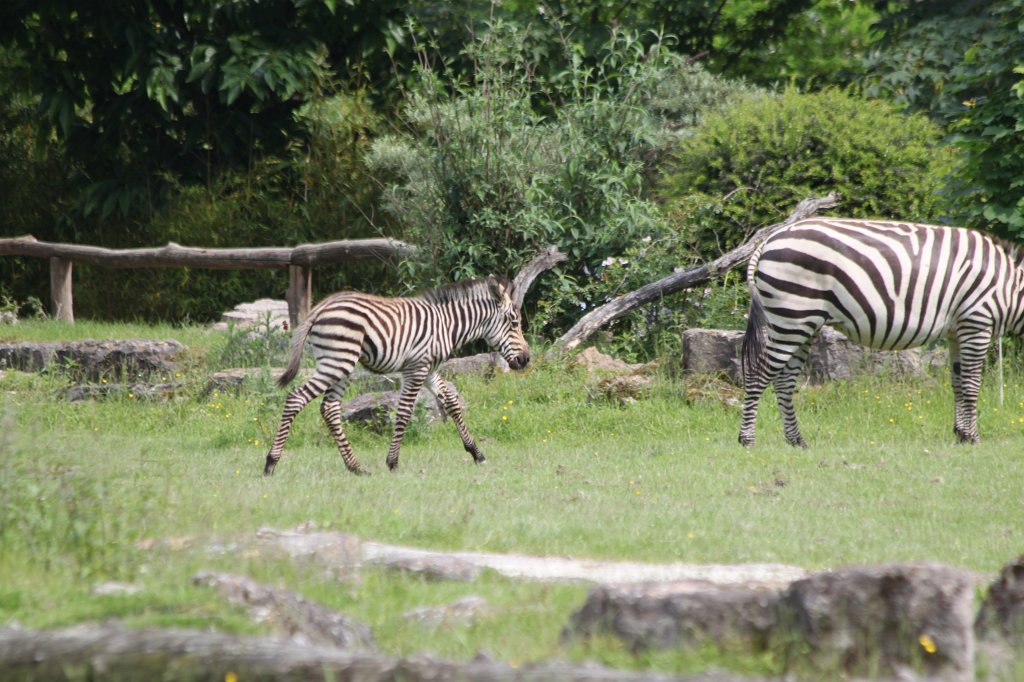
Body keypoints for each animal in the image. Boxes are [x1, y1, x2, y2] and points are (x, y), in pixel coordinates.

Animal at [263, 275, 530, 476]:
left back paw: (355, 467)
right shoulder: (416, 369)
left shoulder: (430, 370)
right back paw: (271, 463)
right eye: (514, 323)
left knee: (329, 408)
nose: (526, 359)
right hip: (338, 361)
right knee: (296, 398)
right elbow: (404, 413)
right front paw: (392, 463)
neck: (447, 324)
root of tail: (320, 307)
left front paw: (477, 453)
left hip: (340, 364)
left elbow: (452, 404)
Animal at [739, 217, 1024, 448]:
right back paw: (747, 440)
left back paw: (796, 440)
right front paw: (973, 437)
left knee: (784, 381)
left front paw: (961, 434)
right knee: (757, 374)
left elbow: (957, 383)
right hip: (792, 317)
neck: (1010, 286)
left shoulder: (957, 330)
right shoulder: (977, 321)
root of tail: (769, 240)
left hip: (801, 323)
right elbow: (971, 384)